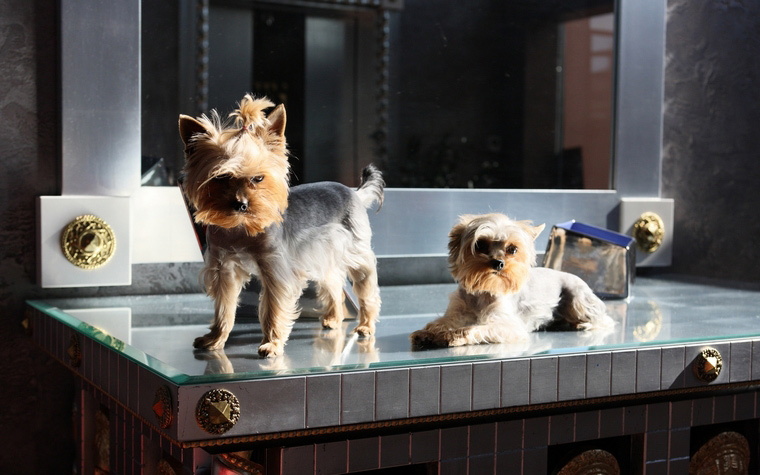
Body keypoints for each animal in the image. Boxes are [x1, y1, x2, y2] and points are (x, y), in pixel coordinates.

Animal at [180, 96, 382, 356]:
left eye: (258, 178)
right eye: (221, 178)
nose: (241, 204)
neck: (240, 228)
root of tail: (354, 193)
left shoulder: (275, 268)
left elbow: (273, 308)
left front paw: (272, 343)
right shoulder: (224, 268)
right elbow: (224, 307)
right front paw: (215, 339)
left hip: (355, 249)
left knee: (366, 287)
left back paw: (366, 325)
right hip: (323, 253)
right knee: (334, 282)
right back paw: (333, 318)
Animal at [410, 214, 612, 348]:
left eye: (512, 249)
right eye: (480, 244)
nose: (498, 263)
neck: (483, 291)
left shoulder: (506, 324)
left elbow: (475, 328)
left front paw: (453, 336)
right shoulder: (457, 311)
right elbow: (442, 322)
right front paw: (427, 333)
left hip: (578, 299)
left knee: (604, 319)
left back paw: (582, 324)